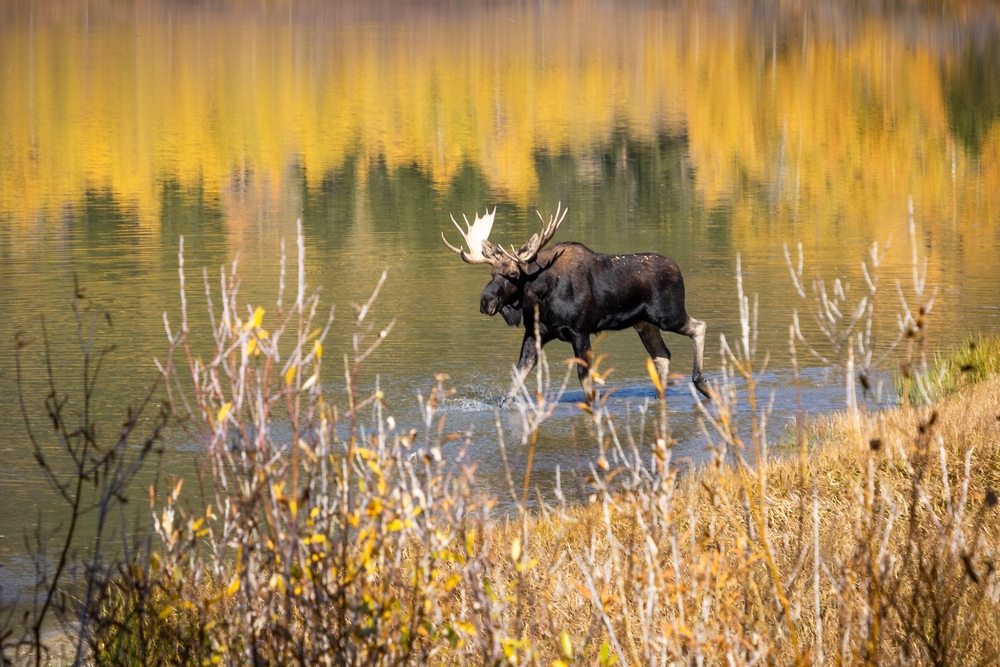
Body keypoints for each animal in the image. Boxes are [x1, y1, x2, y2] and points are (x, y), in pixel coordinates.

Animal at [443, 204, 711, 400]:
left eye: (512, 274)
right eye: (491, 273)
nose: (485, 301)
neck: (541, 297)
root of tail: (678, 269)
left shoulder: (580, 332)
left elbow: (586, 380)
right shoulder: (535, 333)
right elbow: (516, 379)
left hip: (668, 315)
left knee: (699, 326)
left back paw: (701, 383)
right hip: (644, 324)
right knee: (662, 355)